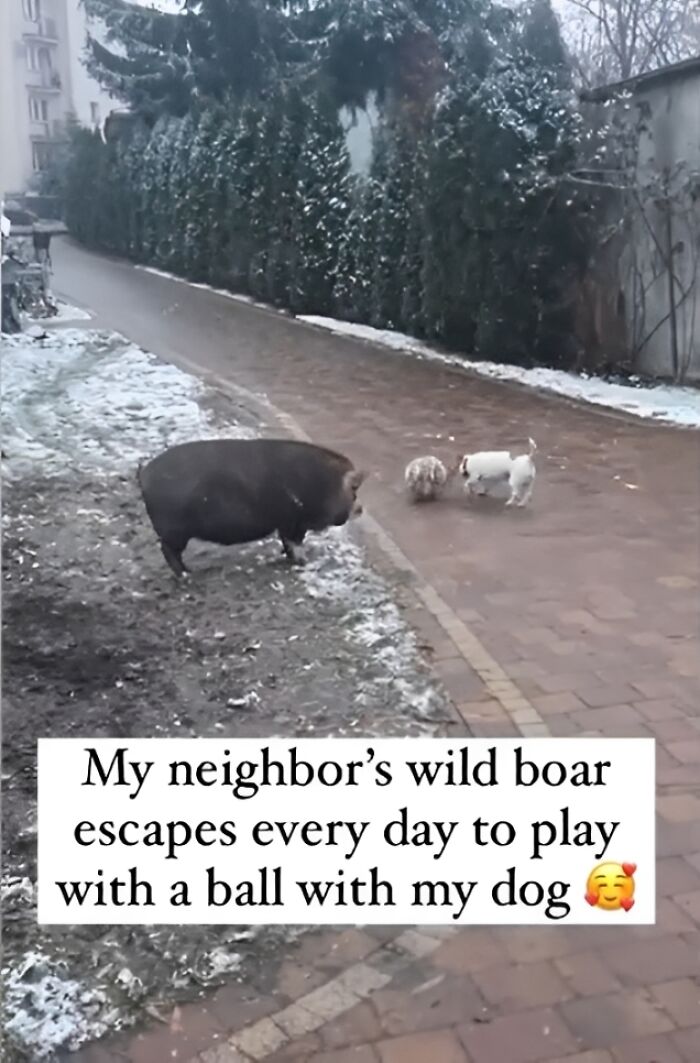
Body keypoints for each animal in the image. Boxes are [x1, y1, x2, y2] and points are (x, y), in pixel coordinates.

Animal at [137, 437, 367, 577]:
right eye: (354, 491)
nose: (361, 509)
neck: (322, 483)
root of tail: (144, 473)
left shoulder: (285, 523)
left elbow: (287, 542)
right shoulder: (294, 521)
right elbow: (295, 543)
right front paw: (303, 562)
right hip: (174, 531)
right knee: (168, 551)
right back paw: (187, 575)